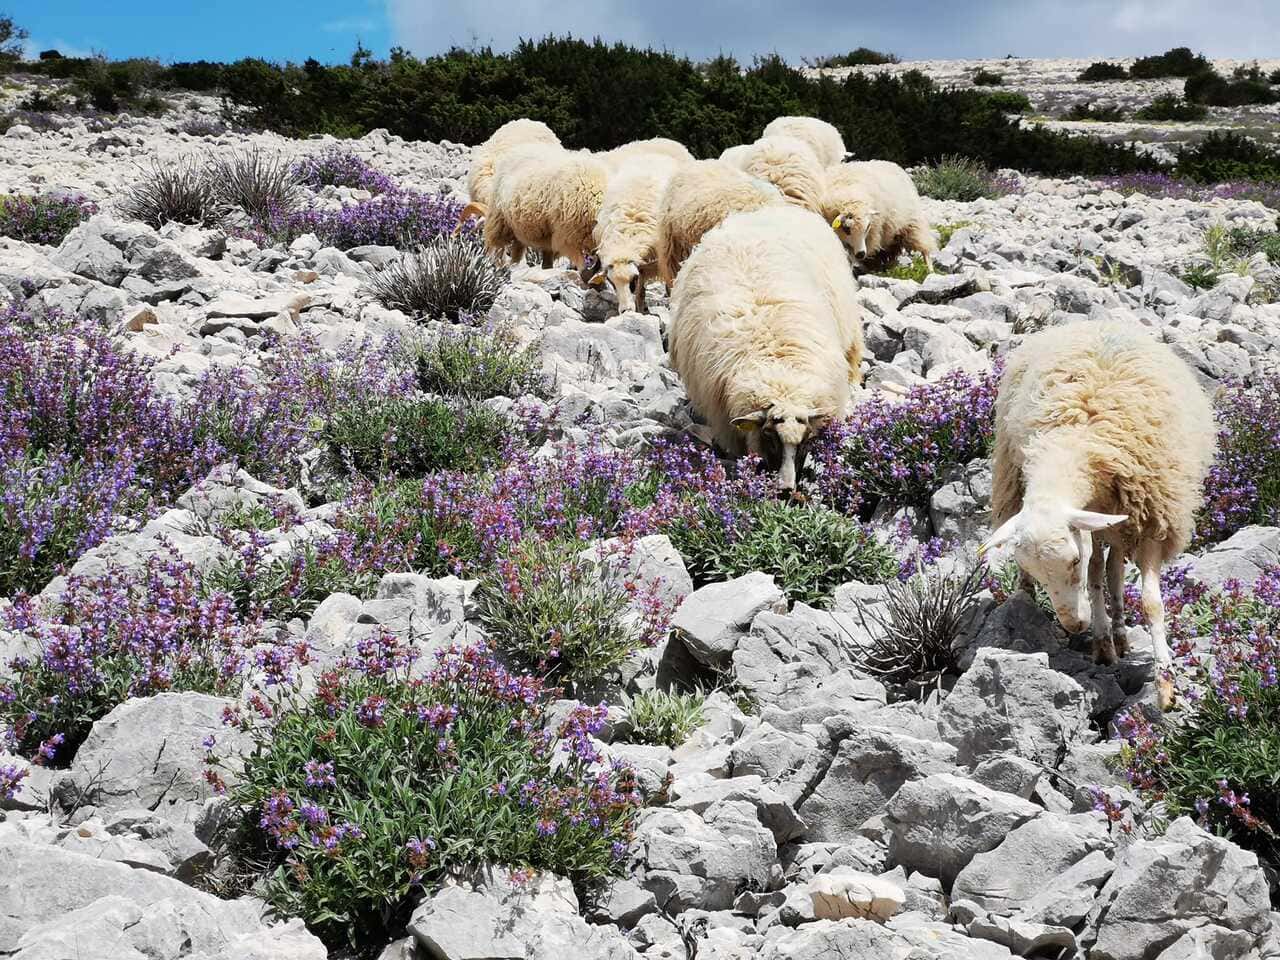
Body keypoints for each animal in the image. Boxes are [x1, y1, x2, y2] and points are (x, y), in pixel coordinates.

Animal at [482, 143, 610, 271]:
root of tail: (523, 147)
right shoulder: (568, 239)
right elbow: (582, 267)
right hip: (500, 221)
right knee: (497, 248)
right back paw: (497, 266)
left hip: (524, 230)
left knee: (520, 252)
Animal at [981, 321, 1216, 710]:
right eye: (1034, 567)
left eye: (1072, 560)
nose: (1075, 626)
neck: (1080, 444)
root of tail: (1098, 322)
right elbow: (1093, 582)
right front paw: (1101, 644)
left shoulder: (1152, 521)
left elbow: (1151, 603)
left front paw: (1166, 685)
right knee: (1106, 571)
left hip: (1118, 521)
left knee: (1115, 569)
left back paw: (1119, 631)